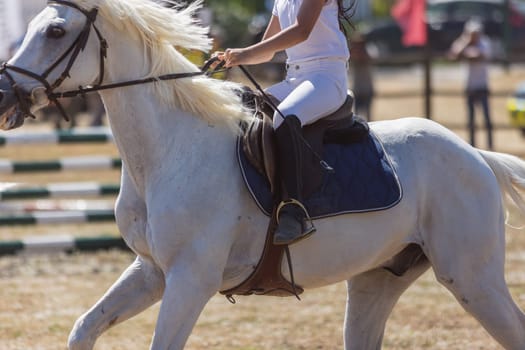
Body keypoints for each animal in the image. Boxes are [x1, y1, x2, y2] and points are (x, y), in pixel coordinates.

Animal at [1, 1, 524, 348]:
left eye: (55, 31)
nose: (5, 96)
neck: (169, 149)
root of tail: (475, 155)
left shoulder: (191, 279)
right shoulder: (151, 272)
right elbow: (84, 327)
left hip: (472, 278)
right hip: (378, 279)